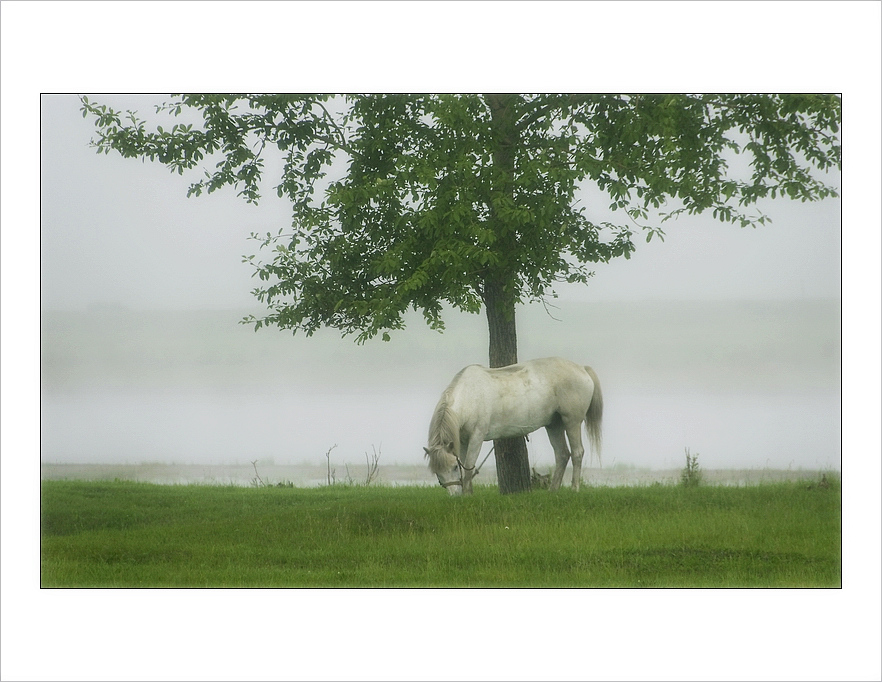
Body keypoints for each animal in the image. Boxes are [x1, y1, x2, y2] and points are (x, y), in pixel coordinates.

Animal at [422, 356, 600, 494]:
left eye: (453, 467)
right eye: (437, 472)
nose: (455, 495)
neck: (470, 396)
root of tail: (582, 368)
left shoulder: (476, 437)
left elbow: (468, 468)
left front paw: (467, 494)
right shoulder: (463, 440)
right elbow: (465, 466)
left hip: (572, 422)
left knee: (577, 453)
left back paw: (574, 488)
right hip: (554, 425)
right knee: (562, 455)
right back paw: (553, 490)